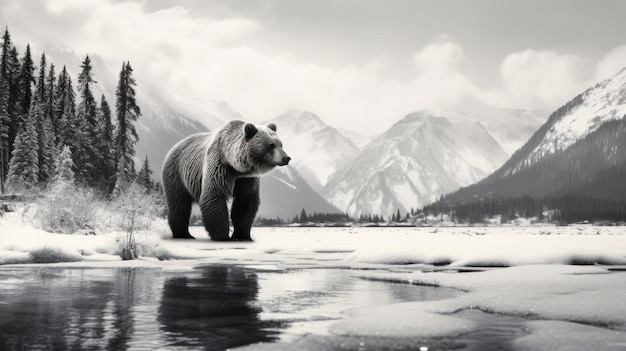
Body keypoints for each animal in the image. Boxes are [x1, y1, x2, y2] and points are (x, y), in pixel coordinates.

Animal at [160, 119, 288, 241]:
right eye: (271, 145)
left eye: (281, 144)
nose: (286, 158)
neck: (236, 167)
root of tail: (175, 146)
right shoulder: (219, 166)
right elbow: (215, 195)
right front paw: (223, 236)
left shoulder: (246, 179)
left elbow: (245, 202)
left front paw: (242, 236)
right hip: (177, 174)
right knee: (179, 204)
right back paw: (183, 234)